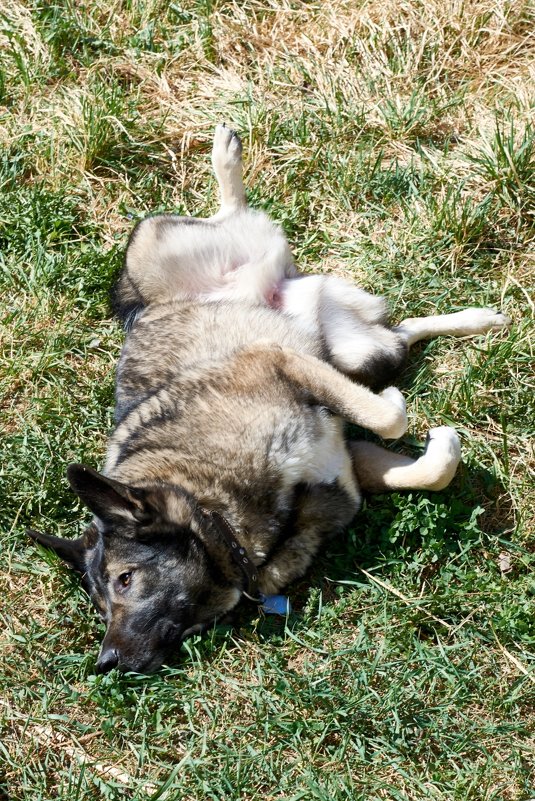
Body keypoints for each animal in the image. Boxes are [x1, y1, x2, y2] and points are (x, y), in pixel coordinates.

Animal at [28, 126, 510, 676]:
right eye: (99, 604)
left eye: (125, 579)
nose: (106, 662)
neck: (211, 509)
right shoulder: (349, 461)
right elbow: (430, 468)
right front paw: (441, 445)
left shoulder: (275, 361)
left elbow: (390, 416)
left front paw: (413, 418)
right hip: (359, 351)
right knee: (404, 332)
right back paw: (478, 320)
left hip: (159, 245)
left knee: (228, 213)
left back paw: (226, 160)